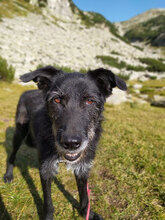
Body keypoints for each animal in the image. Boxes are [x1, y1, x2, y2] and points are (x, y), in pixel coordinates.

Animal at [4, 66, 127, 219]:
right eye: (56, 100)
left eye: (90, 101)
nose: (71, 144)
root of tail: (27, 91)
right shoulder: (46, 169)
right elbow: (48, 202)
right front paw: (48, 216)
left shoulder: (83, 167)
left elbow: (84, 195)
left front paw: (86, 212)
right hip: (20, 131)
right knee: (12, 154)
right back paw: (8, 174)